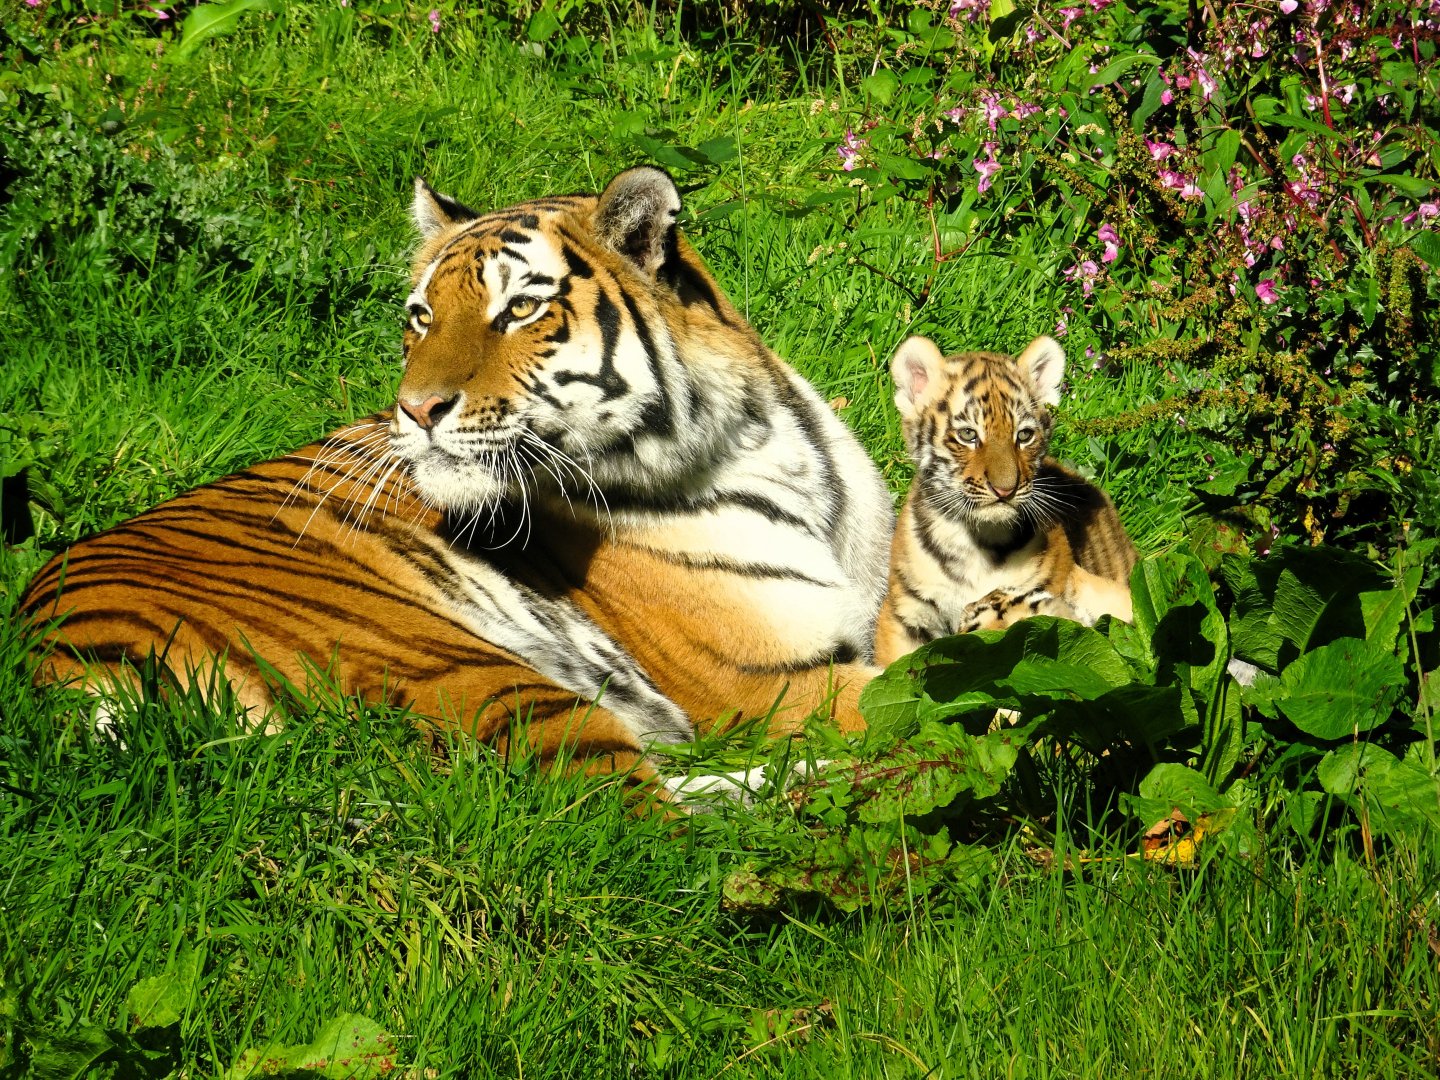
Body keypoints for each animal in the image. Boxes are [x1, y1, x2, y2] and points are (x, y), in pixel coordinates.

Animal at [18, 166, 895, 792]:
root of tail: (51, 658)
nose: (415, 408)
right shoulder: (758, 681)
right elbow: (913, 690)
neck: (754, 438)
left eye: (520, 311)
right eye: (420, 317)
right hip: (457, 661)